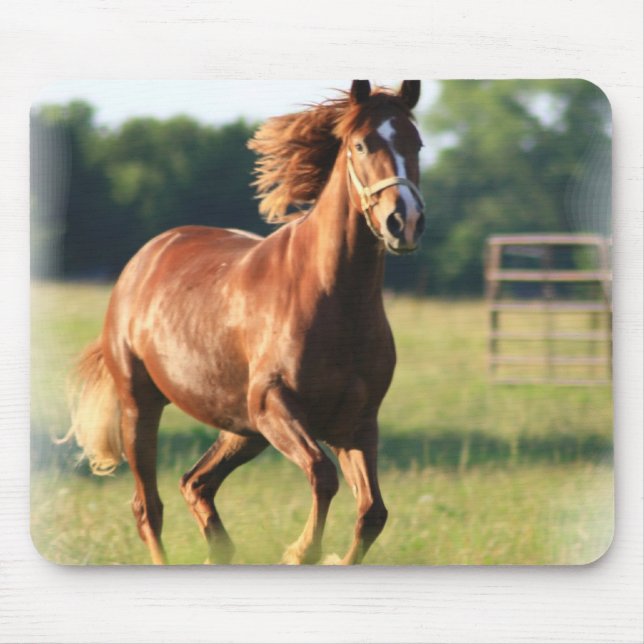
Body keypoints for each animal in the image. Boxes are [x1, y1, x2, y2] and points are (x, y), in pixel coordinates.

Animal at [64, 80, 425, 565]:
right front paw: (300, 551)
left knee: (195, 483)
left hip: (242, 429)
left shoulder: (357, 423)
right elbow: (322, 473)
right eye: (362, 144)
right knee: (148, 509)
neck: (333, 301)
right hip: (142, 407)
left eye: (417, 144)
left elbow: (372, 513)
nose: (404, 222)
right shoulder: (273, 404)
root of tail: (143, 260)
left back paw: (219, 550)